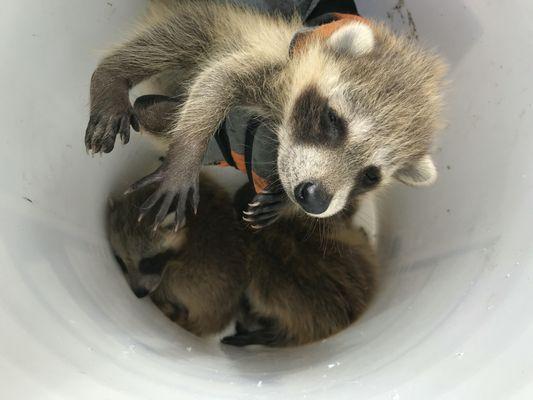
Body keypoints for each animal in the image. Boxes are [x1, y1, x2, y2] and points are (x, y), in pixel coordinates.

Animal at [85, 0, 446, 231]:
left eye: (371, 176)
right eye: (333, 120)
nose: (315, 199)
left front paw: (281, 200)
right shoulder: (266, 46)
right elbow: (216, 81)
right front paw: (185, 156)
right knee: (177, 35)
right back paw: (113, 76)